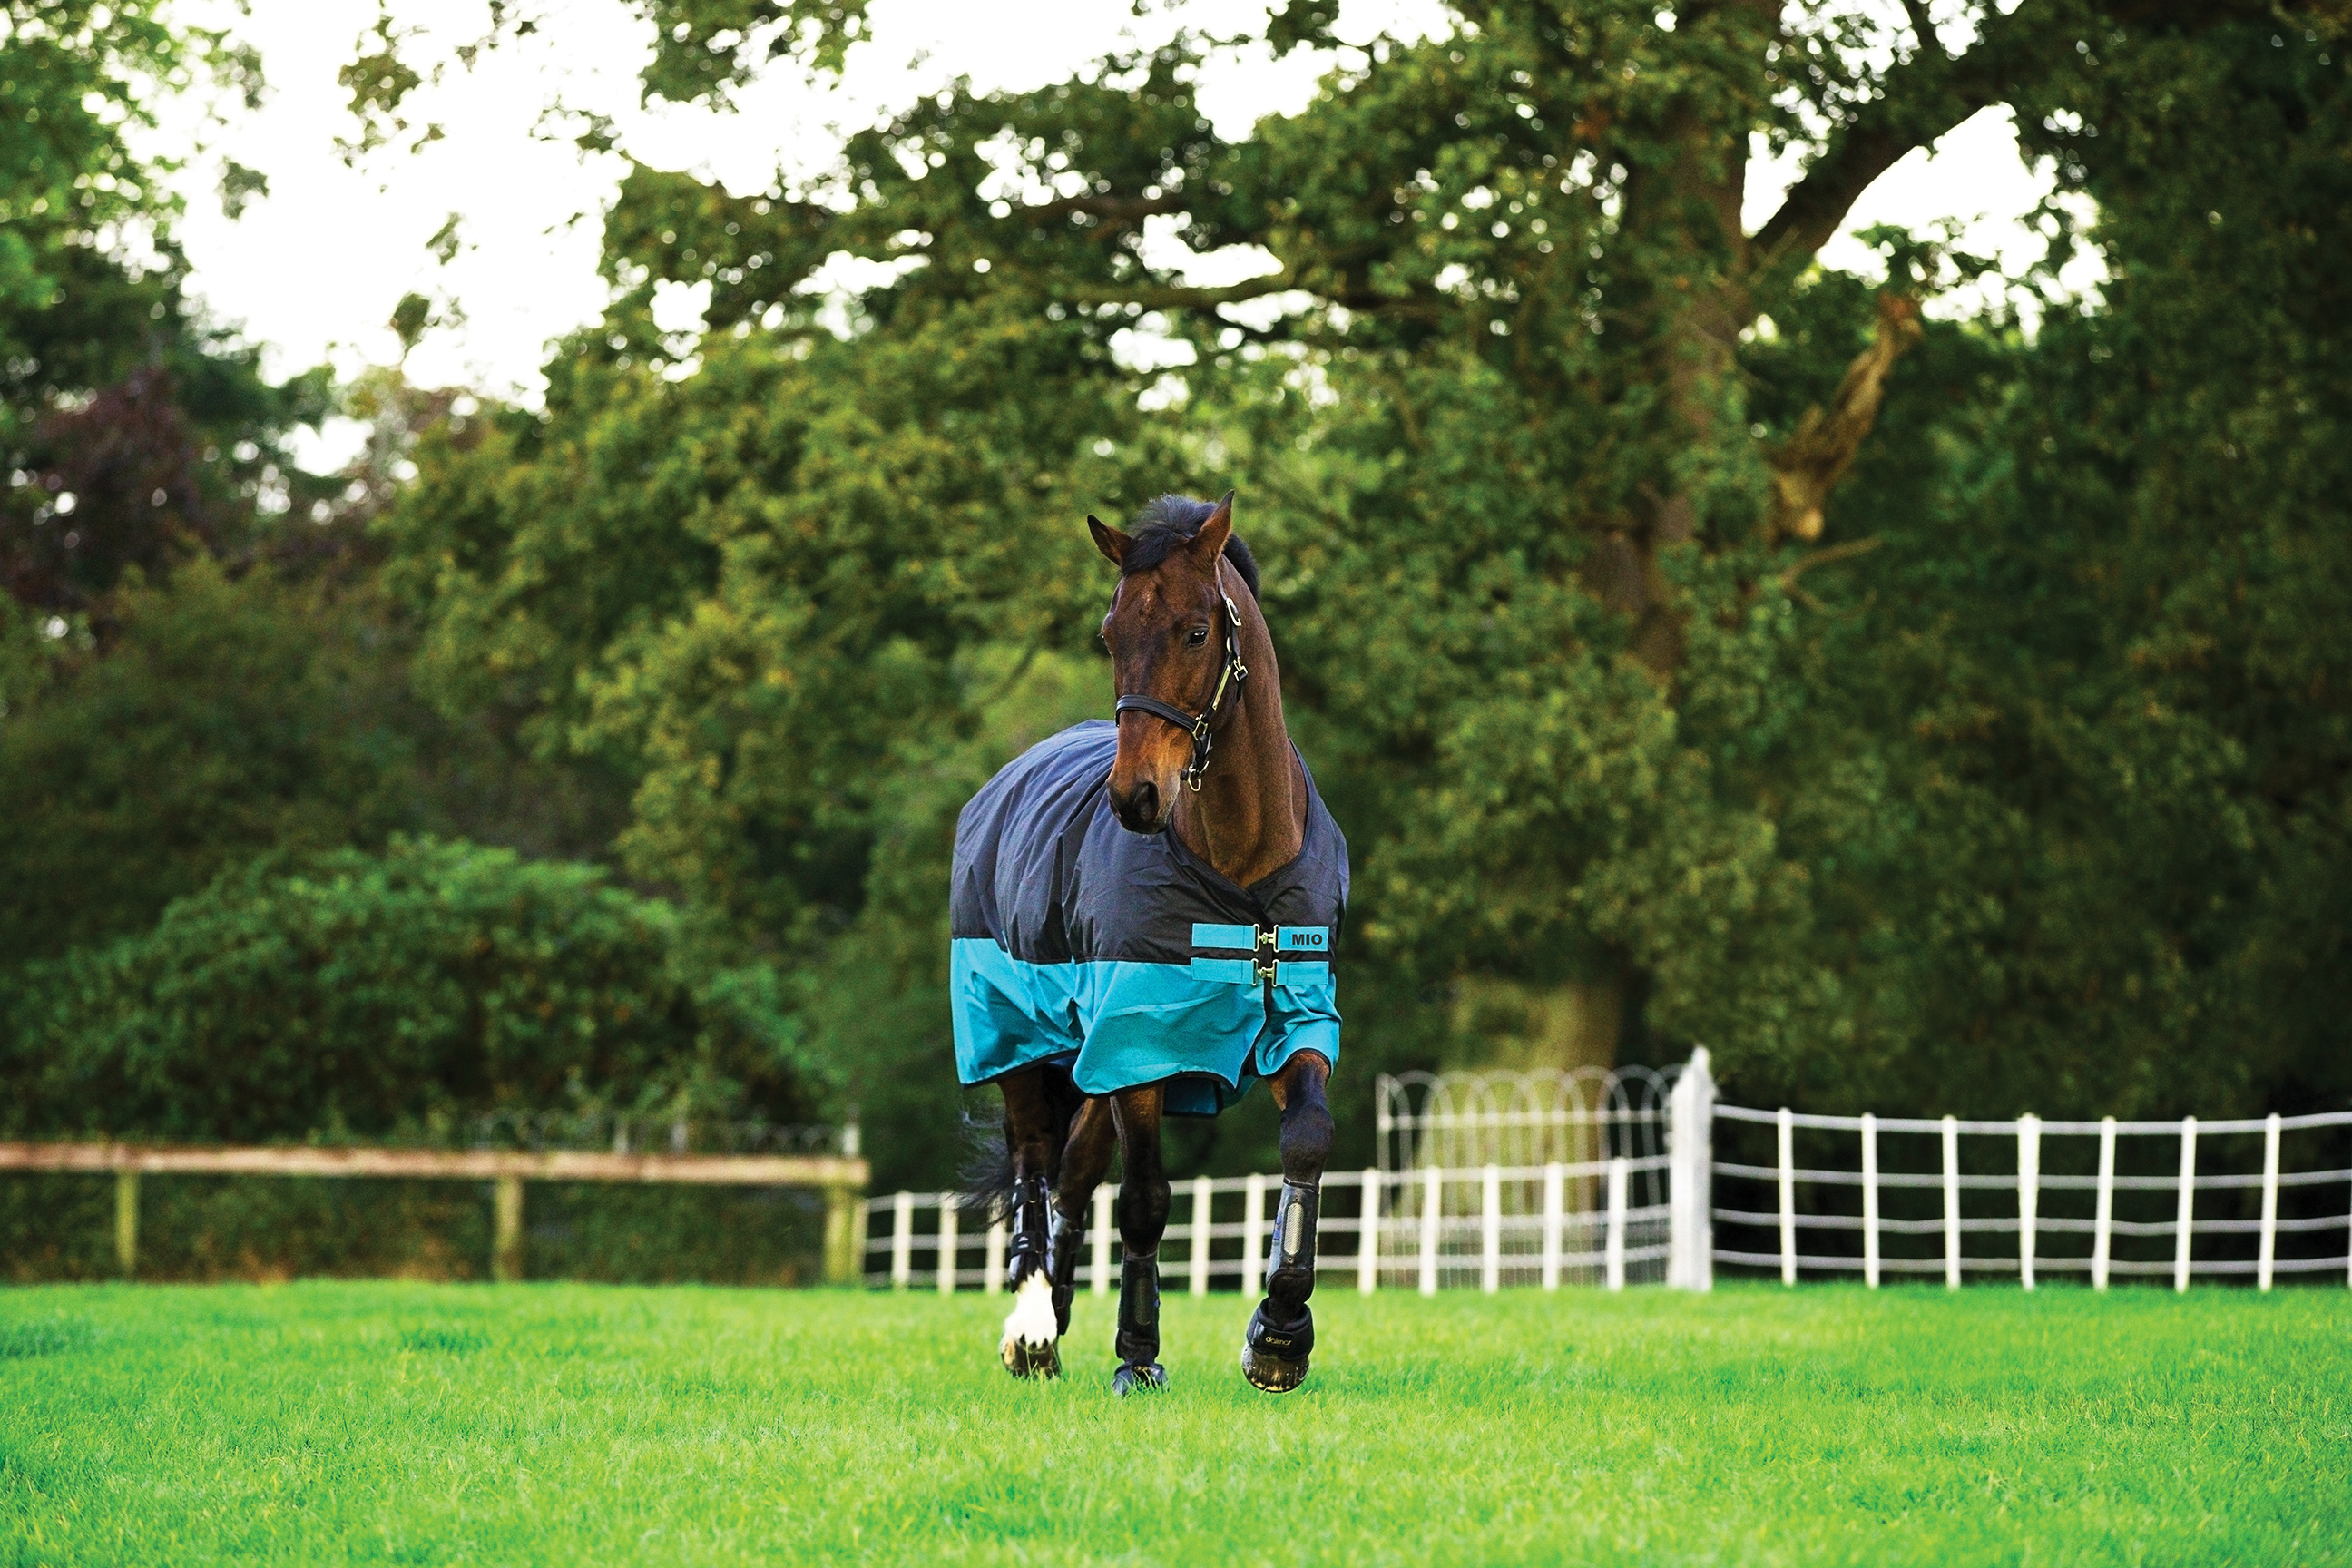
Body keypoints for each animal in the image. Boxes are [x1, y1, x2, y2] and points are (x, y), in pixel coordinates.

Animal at [948, 490, 1348, 1394]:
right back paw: (1033, 1325)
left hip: (1090, 1064)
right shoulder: (1141, 1044)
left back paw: (1056, 1314)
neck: (1240, 869)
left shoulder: (1298, 1018)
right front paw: (1137, 1354)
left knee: (1072, 1175)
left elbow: (1306, 1141)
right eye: (1111, 633)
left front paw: (1280, 1335)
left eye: (1197, 632)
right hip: (1020, 1038)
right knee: (1035, 1164)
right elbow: (1145, 1200)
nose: (1134, 796)